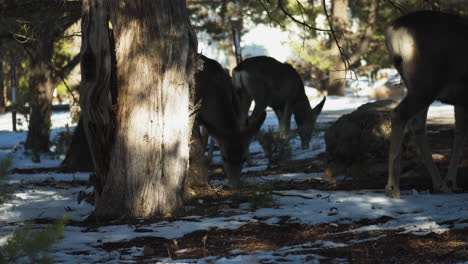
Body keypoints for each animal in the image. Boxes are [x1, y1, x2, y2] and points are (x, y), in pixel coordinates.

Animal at [384, 10, 468, 198]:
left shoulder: (460, 100)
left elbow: (460, 133)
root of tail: (395, 30)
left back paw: (441, 184)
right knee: (399, 115)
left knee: (417, 125)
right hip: (426, 83)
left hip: (416, 85)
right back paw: (393, 188)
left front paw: (452, 181)